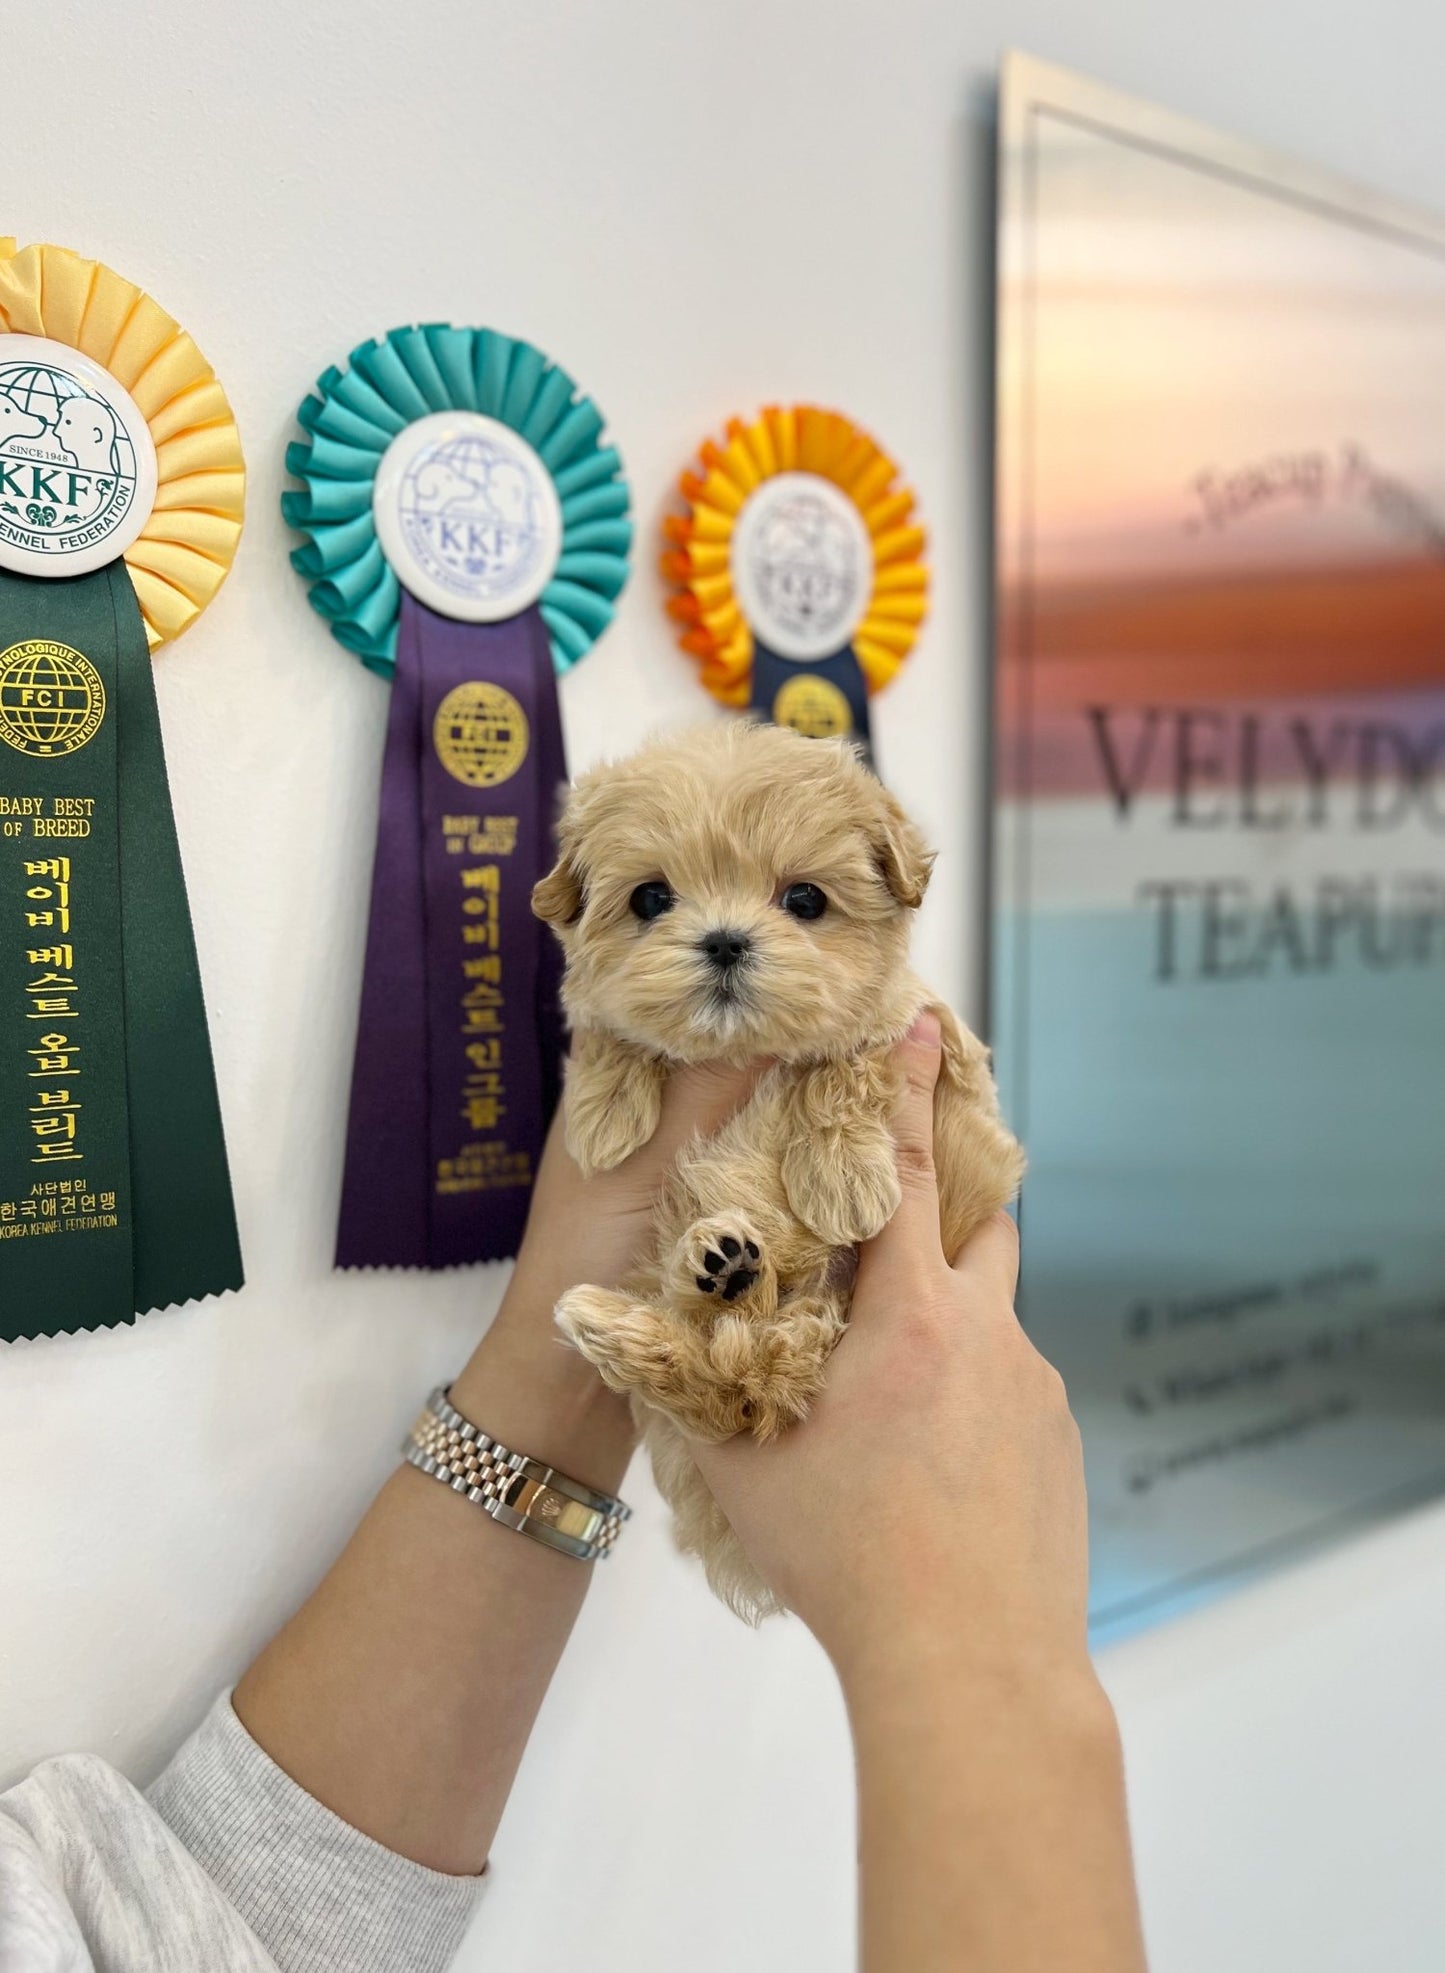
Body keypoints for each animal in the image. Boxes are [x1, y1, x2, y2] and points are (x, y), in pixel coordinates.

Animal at [536, 726, 1018, 1617]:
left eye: (804, 900)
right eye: (650, 899)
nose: (725, 939)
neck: (741, 1053)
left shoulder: (921, 1029)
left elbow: (842, 1063)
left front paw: (842, 1173)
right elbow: (610, 1026)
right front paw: (604, 1110)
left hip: (807, 1324)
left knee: (737, 1379)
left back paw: (702, 1280)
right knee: (724, 1374)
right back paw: (701, 1273)